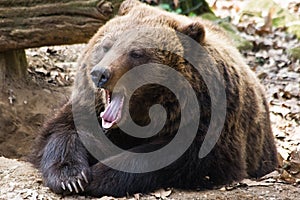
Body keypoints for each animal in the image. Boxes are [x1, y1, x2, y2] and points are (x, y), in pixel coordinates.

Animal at [29, 0, 278, 197]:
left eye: (136, 53)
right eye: (106, 46)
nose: (100, 73)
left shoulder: (210, 122)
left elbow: (177, 158)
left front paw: (99, 176)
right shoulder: (88, 105)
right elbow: (61, 131)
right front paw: (71, 177)